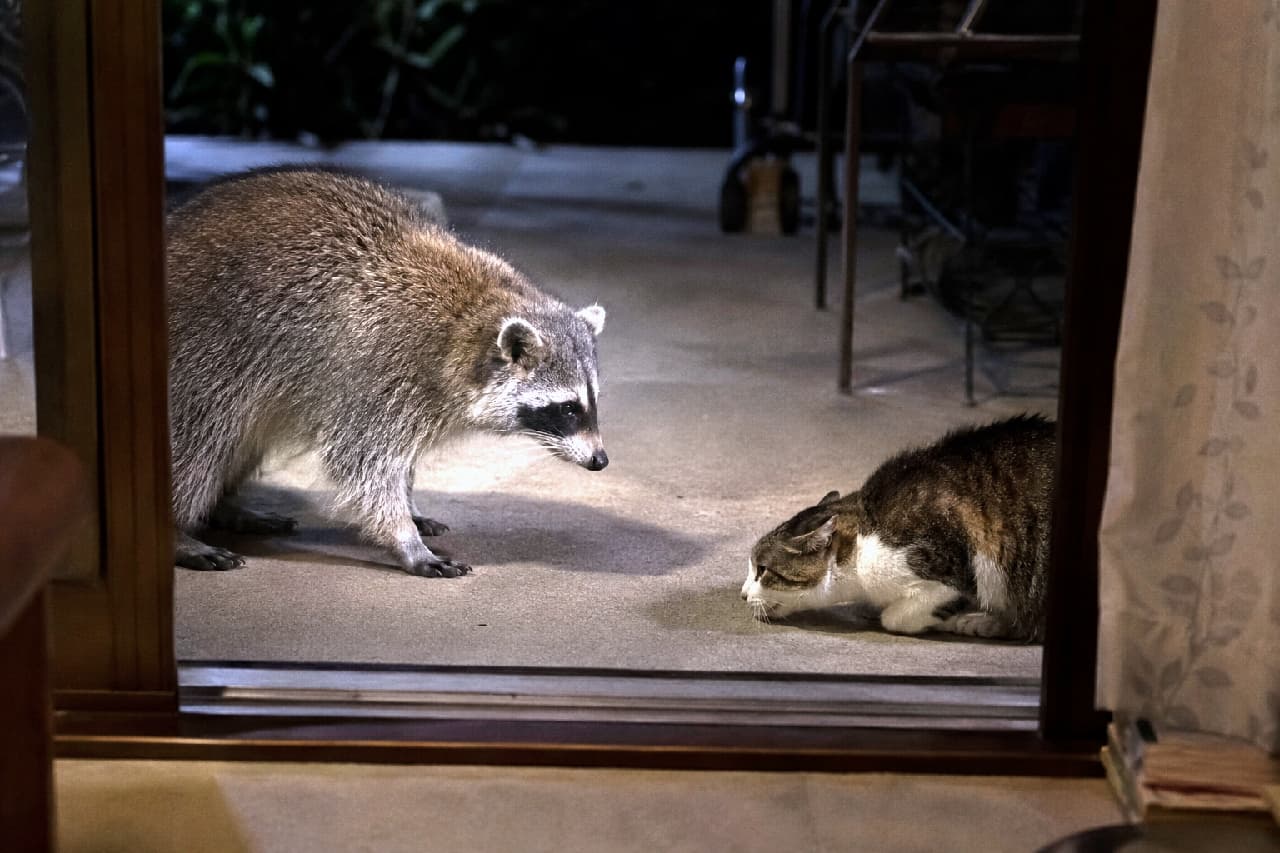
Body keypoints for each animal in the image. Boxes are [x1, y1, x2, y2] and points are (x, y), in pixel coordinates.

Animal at [167, 168, 607, 578]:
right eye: (568, 408)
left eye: (592, 401)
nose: (600, 461)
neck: (469, 321)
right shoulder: (376, 369)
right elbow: (364, 464)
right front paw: (404, 537)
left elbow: (398, 462)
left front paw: (410, 507)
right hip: (204, 357)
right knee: (201, 438)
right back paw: (178, 531)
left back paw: (224, 505)